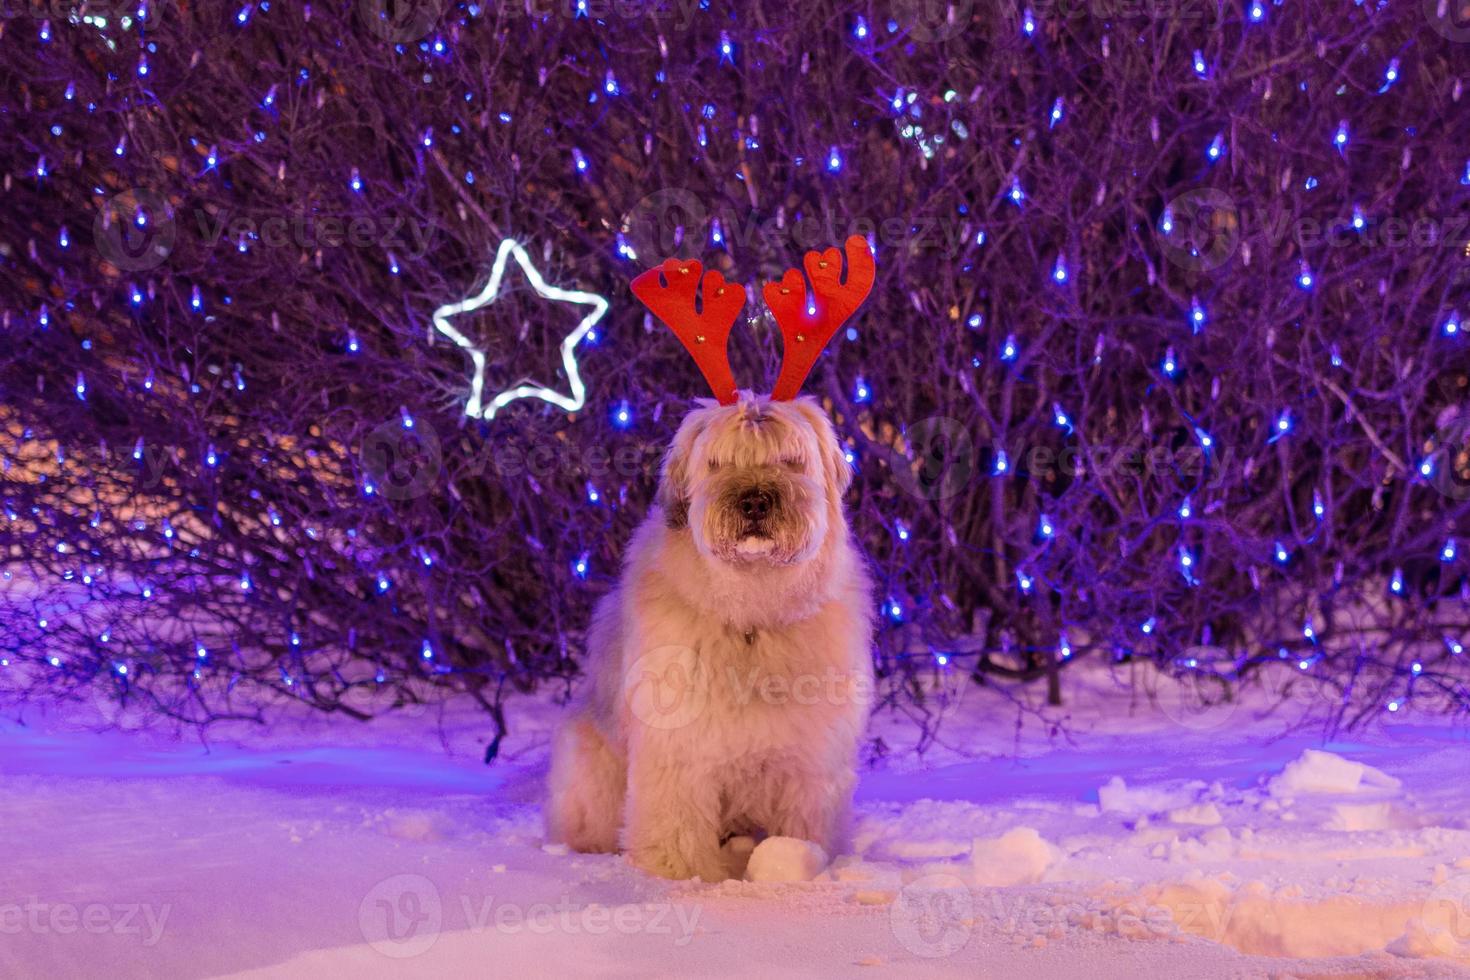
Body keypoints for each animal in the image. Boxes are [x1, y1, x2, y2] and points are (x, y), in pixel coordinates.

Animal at [549, 390, 870, 881]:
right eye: (719, 462)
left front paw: (797, 863)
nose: (755, 501)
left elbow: (803, 820)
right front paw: (682, 874)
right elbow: (678, 824)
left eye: (790, 459)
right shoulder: (679, 749)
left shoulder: (810, 756)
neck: (752, 615)